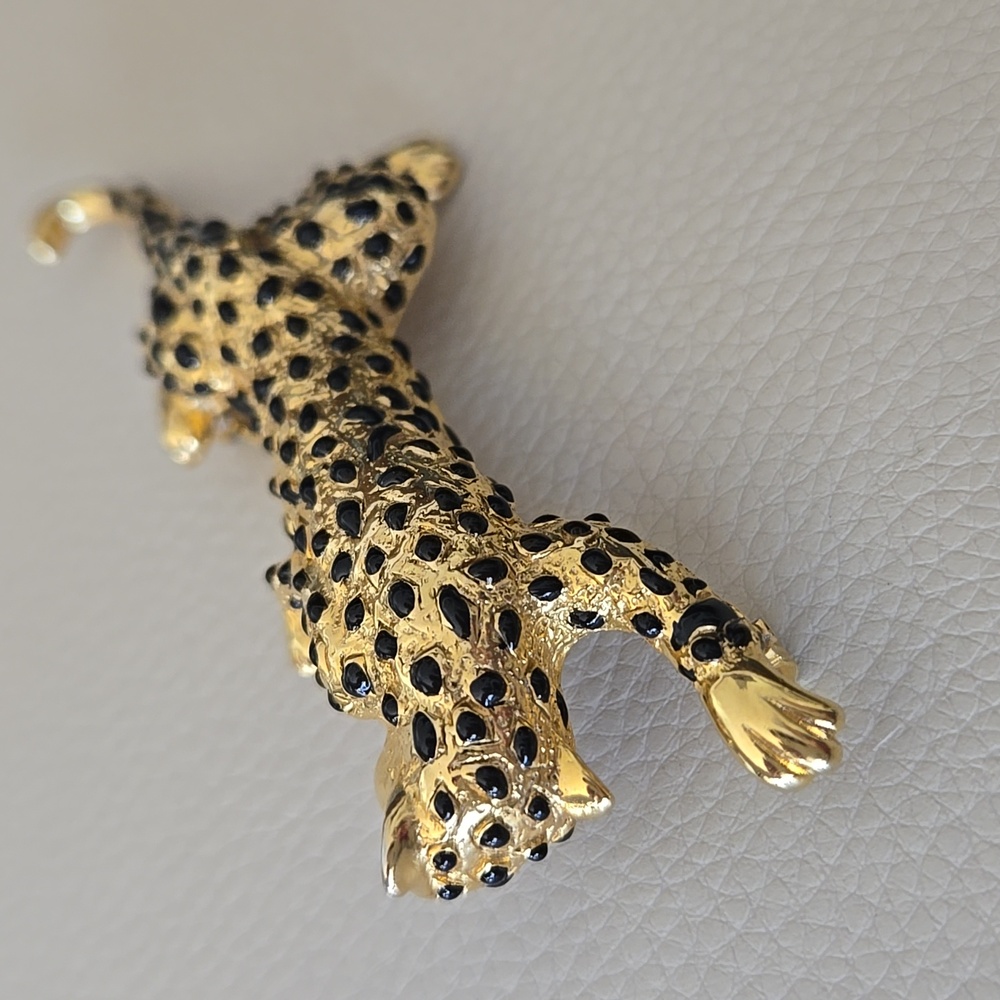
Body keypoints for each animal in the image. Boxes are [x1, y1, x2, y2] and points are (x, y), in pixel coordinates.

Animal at [30, 140, 843, 899]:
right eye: (473, 875)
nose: (458, 875)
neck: (447, 673)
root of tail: (214, 247)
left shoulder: (547, 565)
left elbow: (659, 590)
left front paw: (762, 709)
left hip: (360, 254)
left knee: (370, 203)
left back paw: (419, 159)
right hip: (204, 347)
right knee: (182, 364)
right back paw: (187, 426)